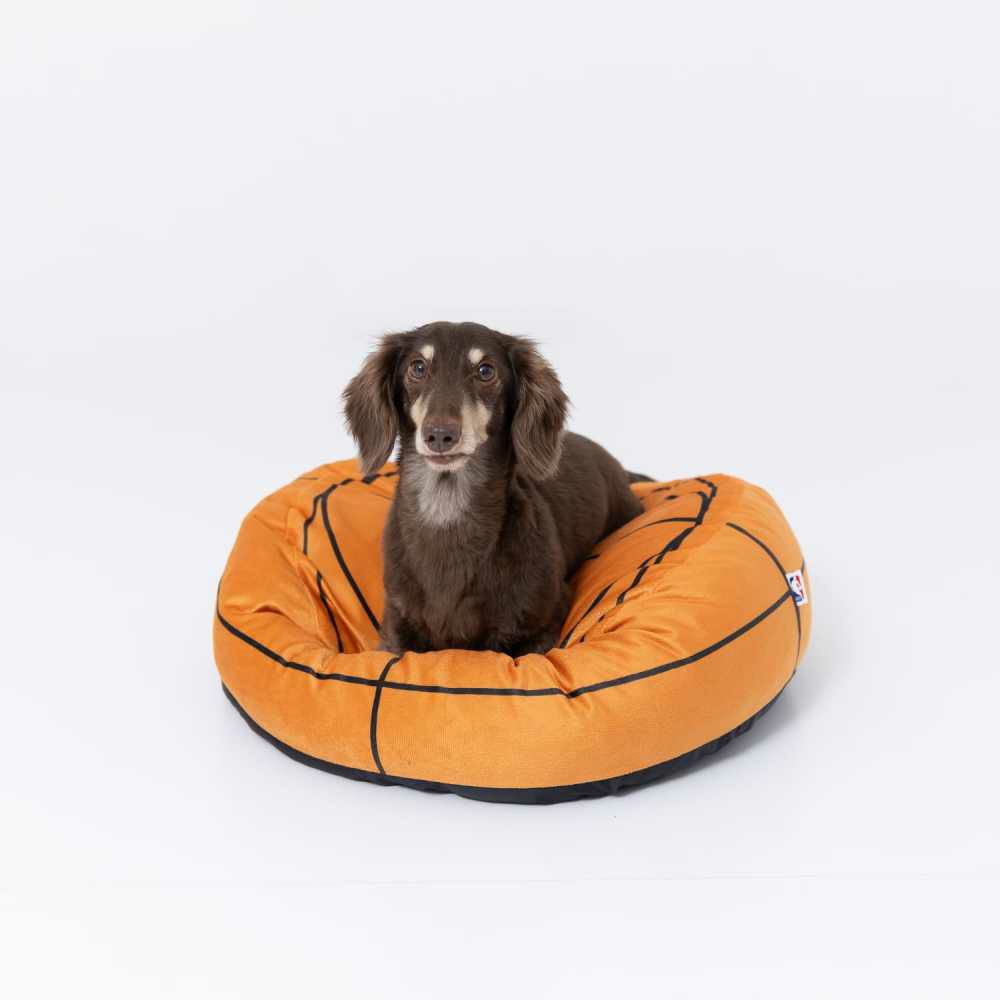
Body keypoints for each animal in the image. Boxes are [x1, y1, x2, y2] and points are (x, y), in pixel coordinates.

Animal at [343, 321, 643, 655]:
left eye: (485, 371)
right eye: (418, 367)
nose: (440, 434)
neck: (447, 510)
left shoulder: (542, 624)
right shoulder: (396, 625)